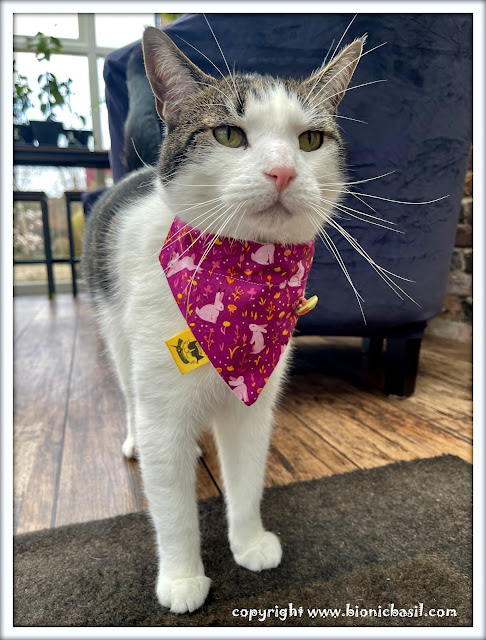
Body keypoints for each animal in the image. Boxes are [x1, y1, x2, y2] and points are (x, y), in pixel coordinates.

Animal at [82, 26, 364, 616]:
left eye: (310, 141)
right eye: (229, 135)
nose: (283, 170)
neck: (240, 280)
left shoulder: (254, 407)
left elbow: (247, 477)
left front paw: (249, 542)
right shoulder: (163, 408)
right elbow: (171, 508)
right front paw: (183, 577)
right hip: (116, 332)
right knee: (130, 394)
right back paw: (135, 439)